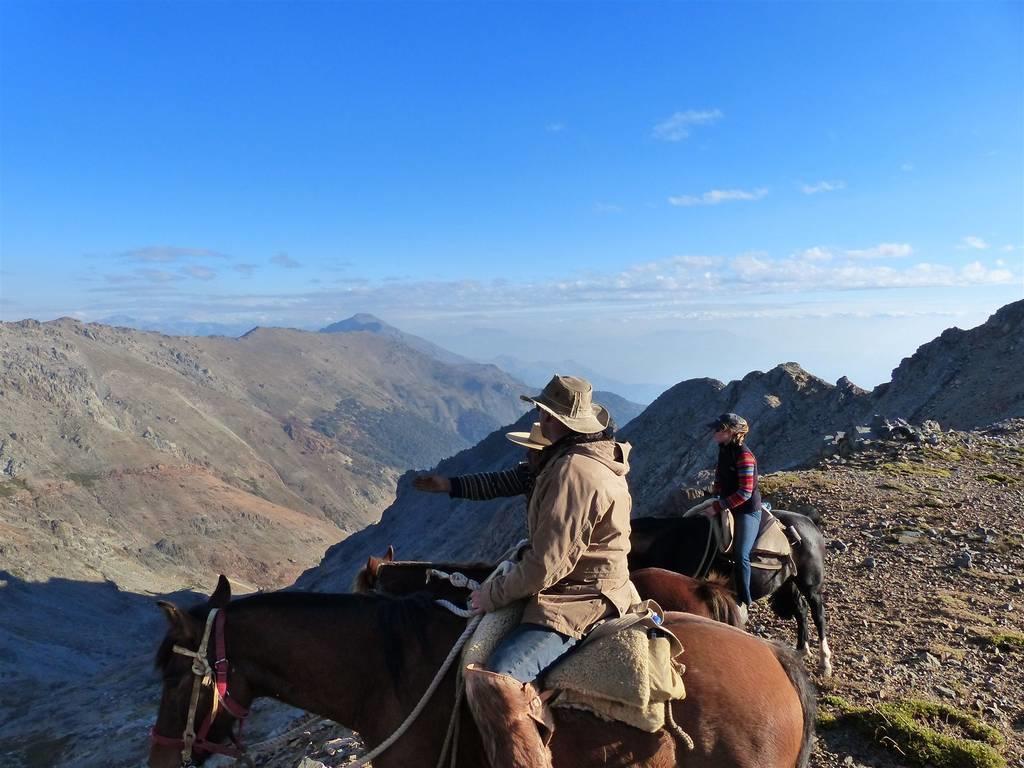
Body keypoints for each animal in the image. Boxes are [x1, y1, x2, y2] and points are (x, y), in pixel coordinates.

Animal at [622, 514, 831, 675]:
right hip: (788, 583)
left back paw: (824, 662)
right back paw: (802, 650)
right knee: (801, 610)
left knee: (818, 614)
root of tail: (810, 522)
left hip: (810, 585)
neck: (668, 543)